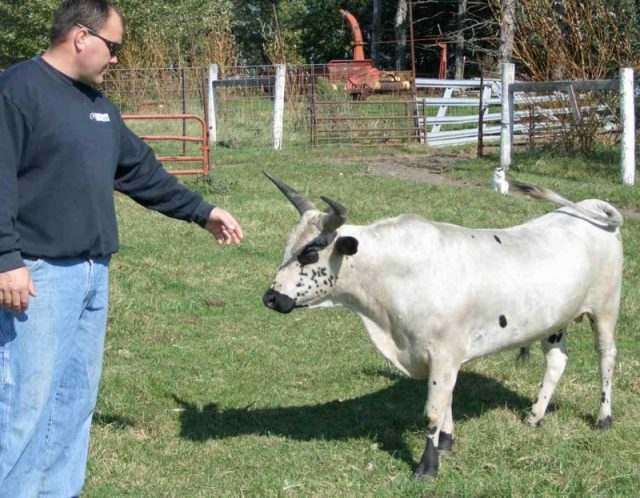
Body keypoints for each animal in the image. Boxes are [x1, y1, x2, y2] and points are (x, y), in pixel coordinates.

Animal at [262, 172, 624, 478]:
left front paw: (427, 466)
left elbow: (432, 411)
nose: (271, 297)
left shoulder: (444, 352)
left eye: (310, 253)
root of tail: (593, 206)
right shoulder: (438, 356)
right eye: (289, 245)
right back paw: (535, 416)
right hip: (555, 320)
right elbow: (446, 400)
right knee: (557, 360)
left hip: (606, 309)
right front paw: (446, 443)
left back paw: (603, 418)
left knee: (606, 356)